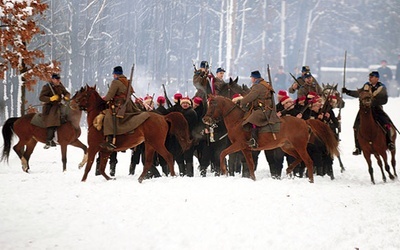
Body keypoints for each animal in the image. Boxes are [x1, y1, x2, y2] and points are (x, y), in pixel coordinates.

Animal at [202, 94, 340, 183]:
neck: (238, 121)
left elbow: (222, 153)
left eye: (213, 104)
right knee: (299, 159)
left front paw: (224, 171)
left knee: (308, 161)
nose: (205, 119)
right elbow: (250, 164)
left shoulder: (239, 144)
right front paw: (253, 179)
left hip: (299, 146)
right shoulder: (246, 148)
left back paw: (311, 180)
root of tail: (305, 122)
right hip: (287, 147)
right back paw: (290, 170)